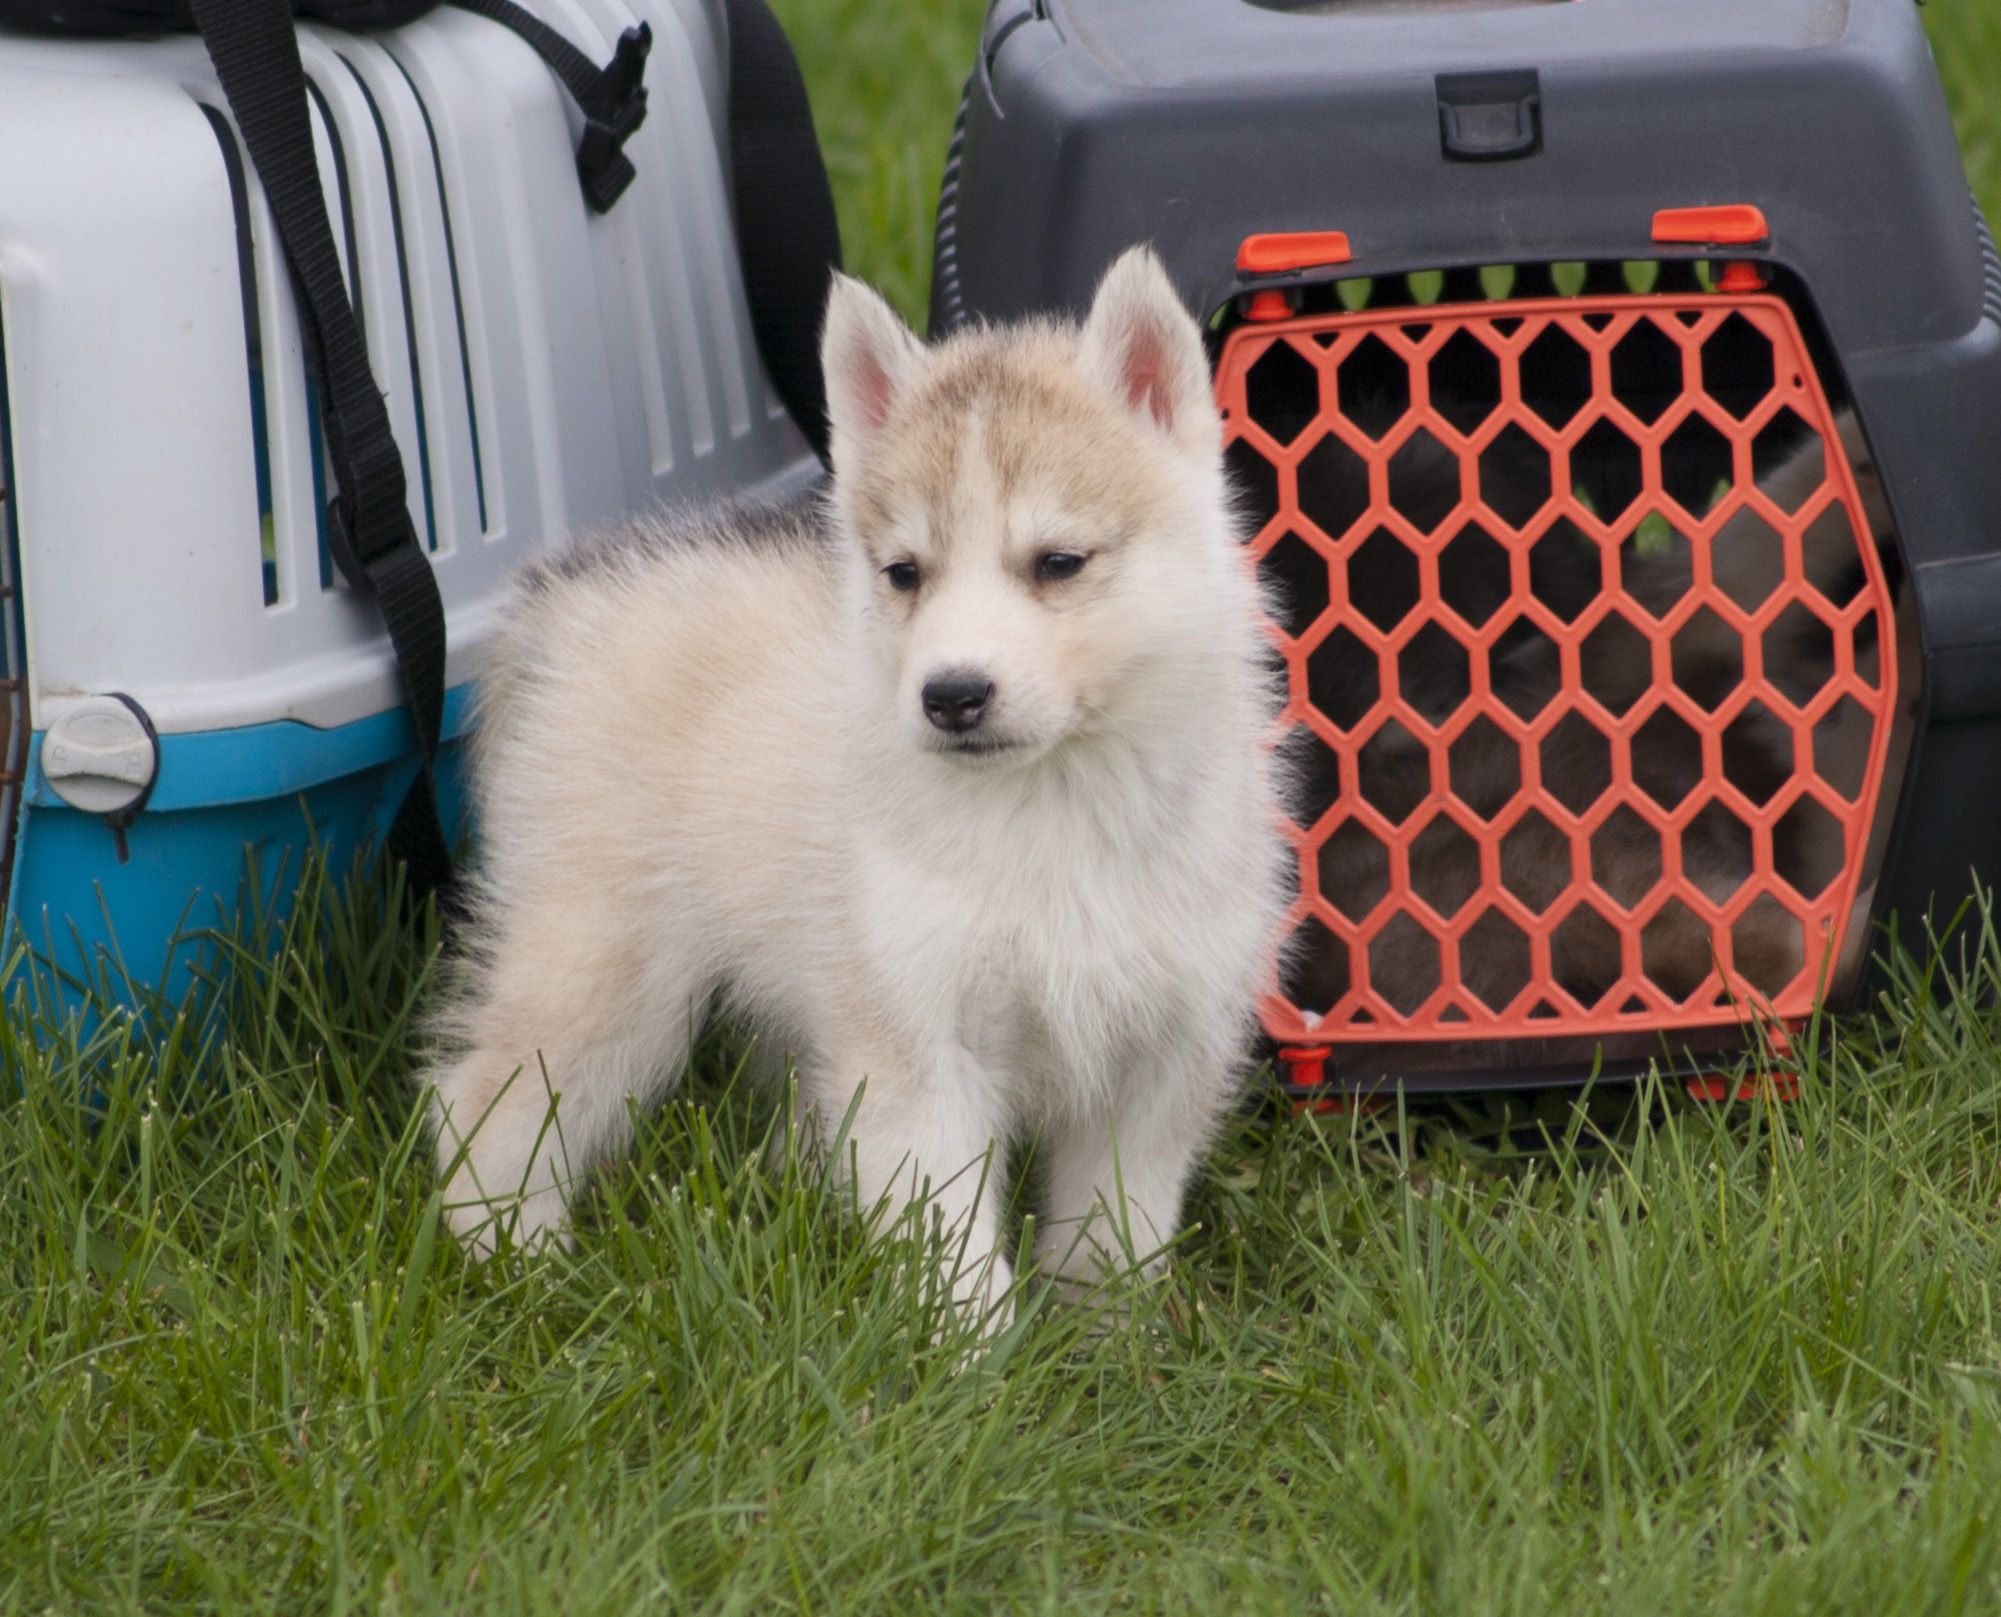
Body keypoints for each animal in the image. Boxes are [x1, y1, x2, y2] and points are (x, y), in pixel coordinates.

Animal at [428, 249, 1288, 1312]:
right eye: (903, 573)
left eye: (1057, 562)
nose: (951, 694)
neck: (1053, 807)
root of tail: (567, 596)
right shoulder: (913, 1043)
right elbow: (952, 1242)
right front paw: (979, 1349)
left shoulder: (1163, 1050)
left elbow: (1113, 1225)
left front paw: (1112, 1337)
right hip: (608, 972)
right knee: (484, 1098)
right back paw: (517, 1260)